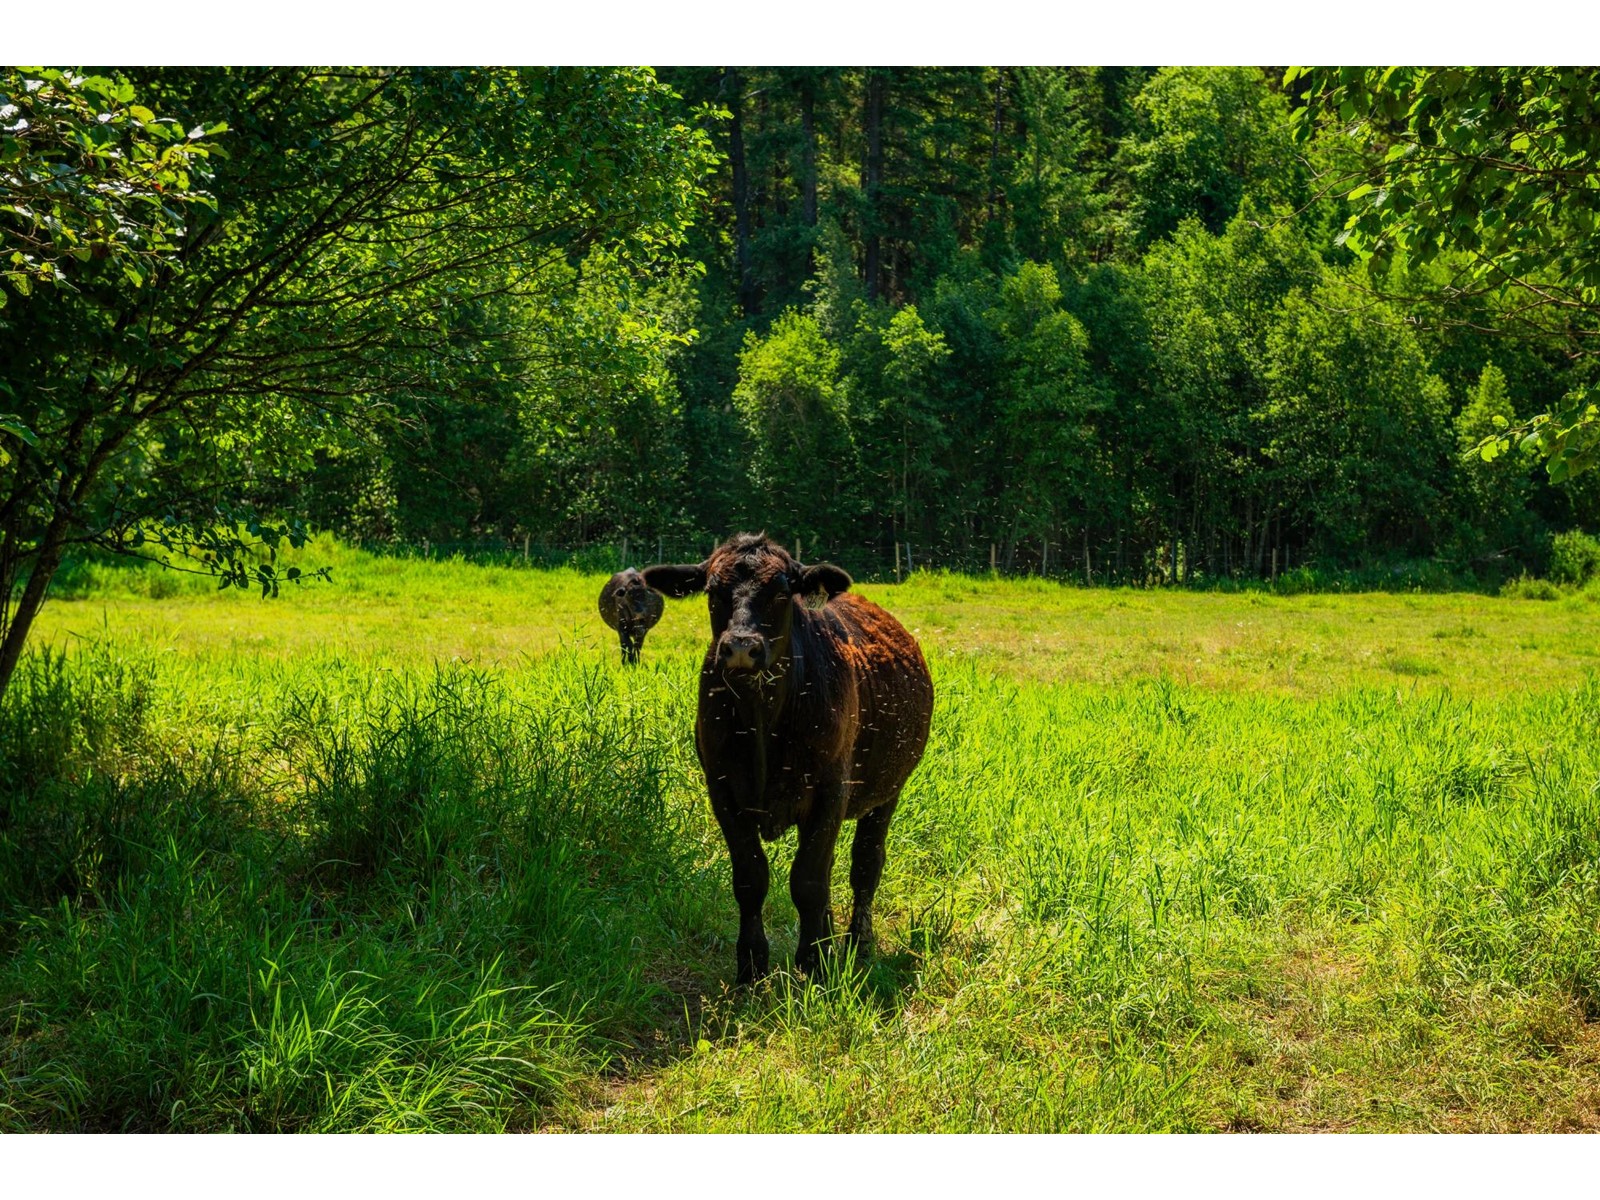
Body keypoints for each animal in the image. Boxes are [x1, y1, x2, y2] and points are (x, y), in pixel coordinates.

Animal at [643, 534, 934, 985]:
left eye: (781, 593)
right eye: (712, 592)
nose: (741, 647)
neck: (762, 720)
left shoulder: (830, 793)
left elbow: (809, 880)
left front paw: (813, 962)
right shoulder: (724, 792)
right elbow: (751, 878)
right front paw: (752, 963)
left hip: (887, 793)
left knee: (865, 866)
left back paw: (858, 944)